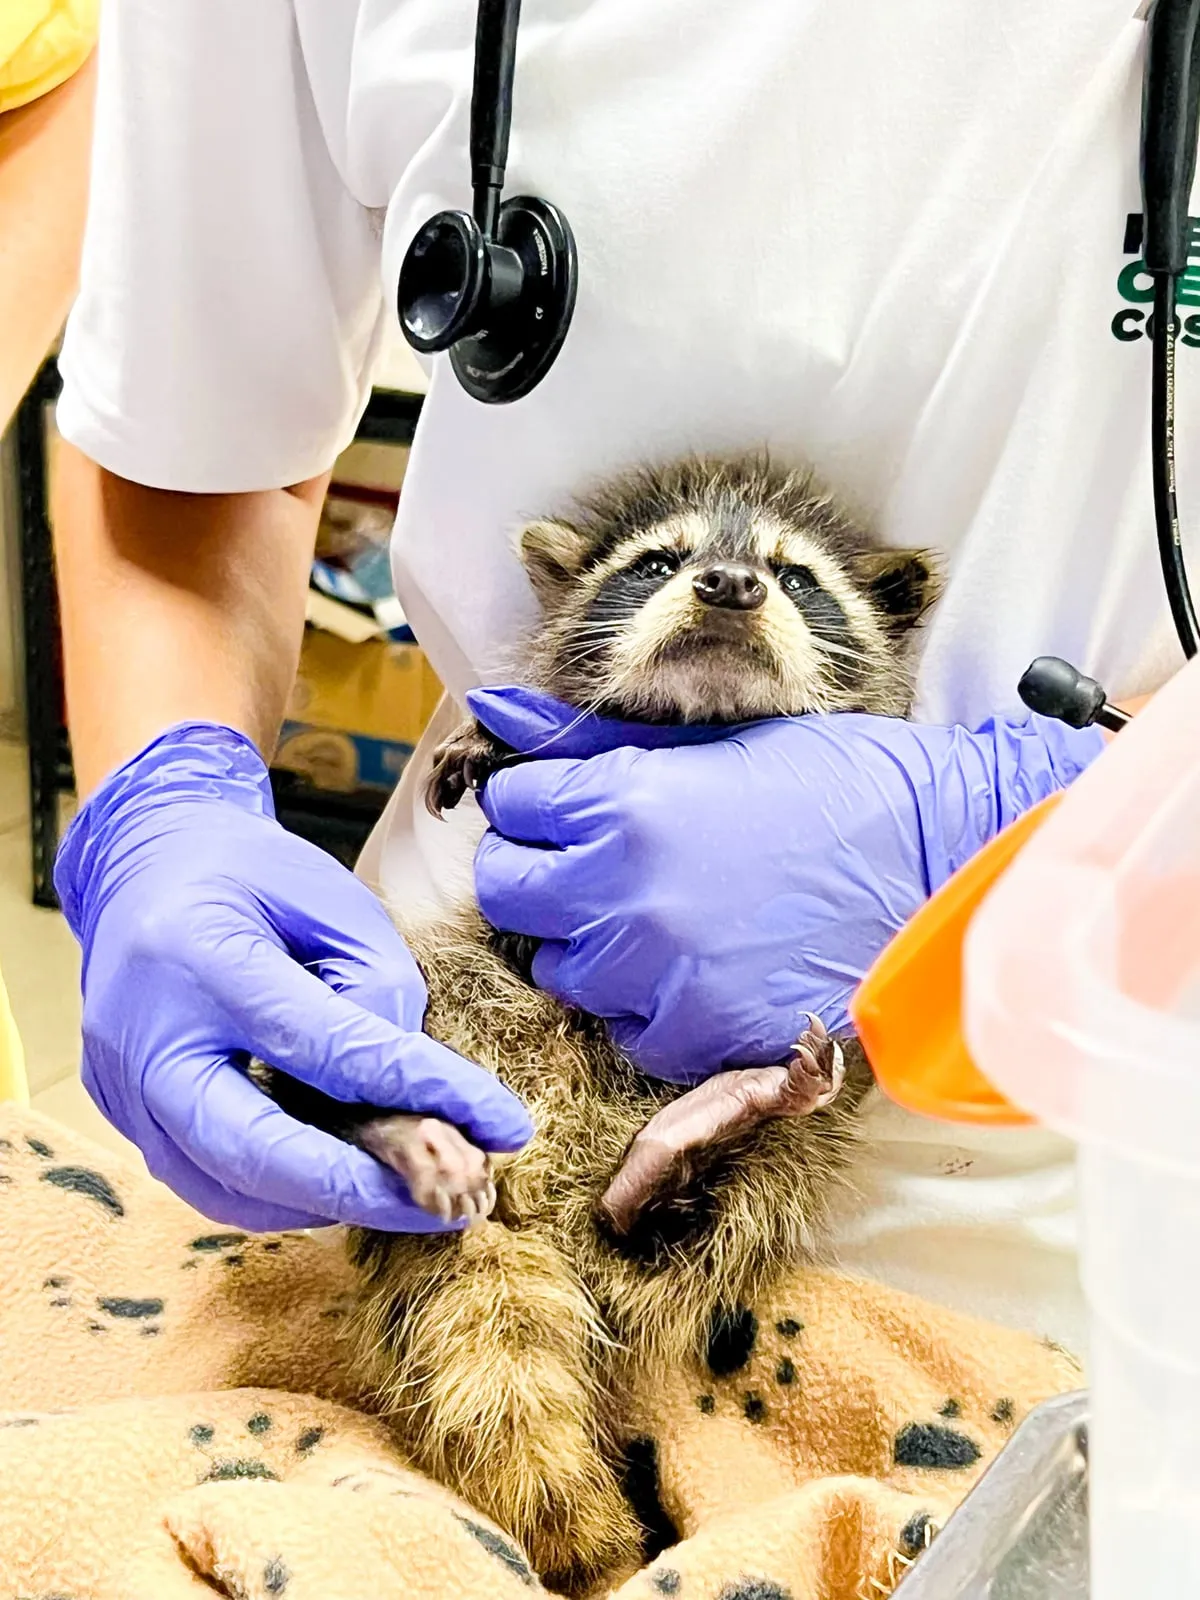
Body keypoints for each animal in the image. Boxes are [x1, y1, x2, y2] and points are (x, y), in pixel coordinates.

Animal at [259, 456, 939, 1591]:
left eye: (794, 576)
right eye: (659, 562)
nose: (729, 587)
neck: (703, 728)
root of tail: (520, 1201)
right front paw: (490, 736)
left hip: (774, 1160)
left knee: (698, 1214)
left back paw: (692, 1140)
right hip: (435, 995)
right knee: (378, 1009)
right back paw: (372, 1106)